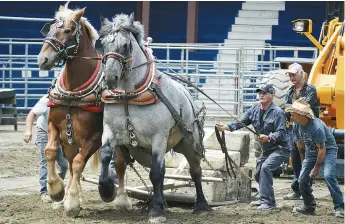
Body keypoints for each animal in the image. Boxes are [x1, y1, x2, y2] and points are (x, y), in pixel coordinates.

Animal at [35, 3, 107, 217]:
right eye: (50, 28)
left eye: (67, 30)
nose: (43, 59)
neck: (73, 92)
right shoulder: (55, 127)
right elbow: (50, 151)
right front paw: (57, 191)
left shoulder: (95, 137)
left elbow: (78, 163)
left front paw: (73, 203)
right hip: (70, 142)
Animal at [97, 13, 210, 222]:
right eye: (102, 44)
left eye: (125, 45)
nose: (110, 78)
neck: (129, 96)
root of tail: (188, 96)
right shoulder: (110, 131)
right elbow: (105, 155)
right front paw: (106, 189)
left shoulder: (159, 137)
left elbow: (156, 174)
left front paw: (157, 210)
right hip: (144, 152)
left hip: (189, 144)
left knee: (195, 170)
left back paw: (201, 205)